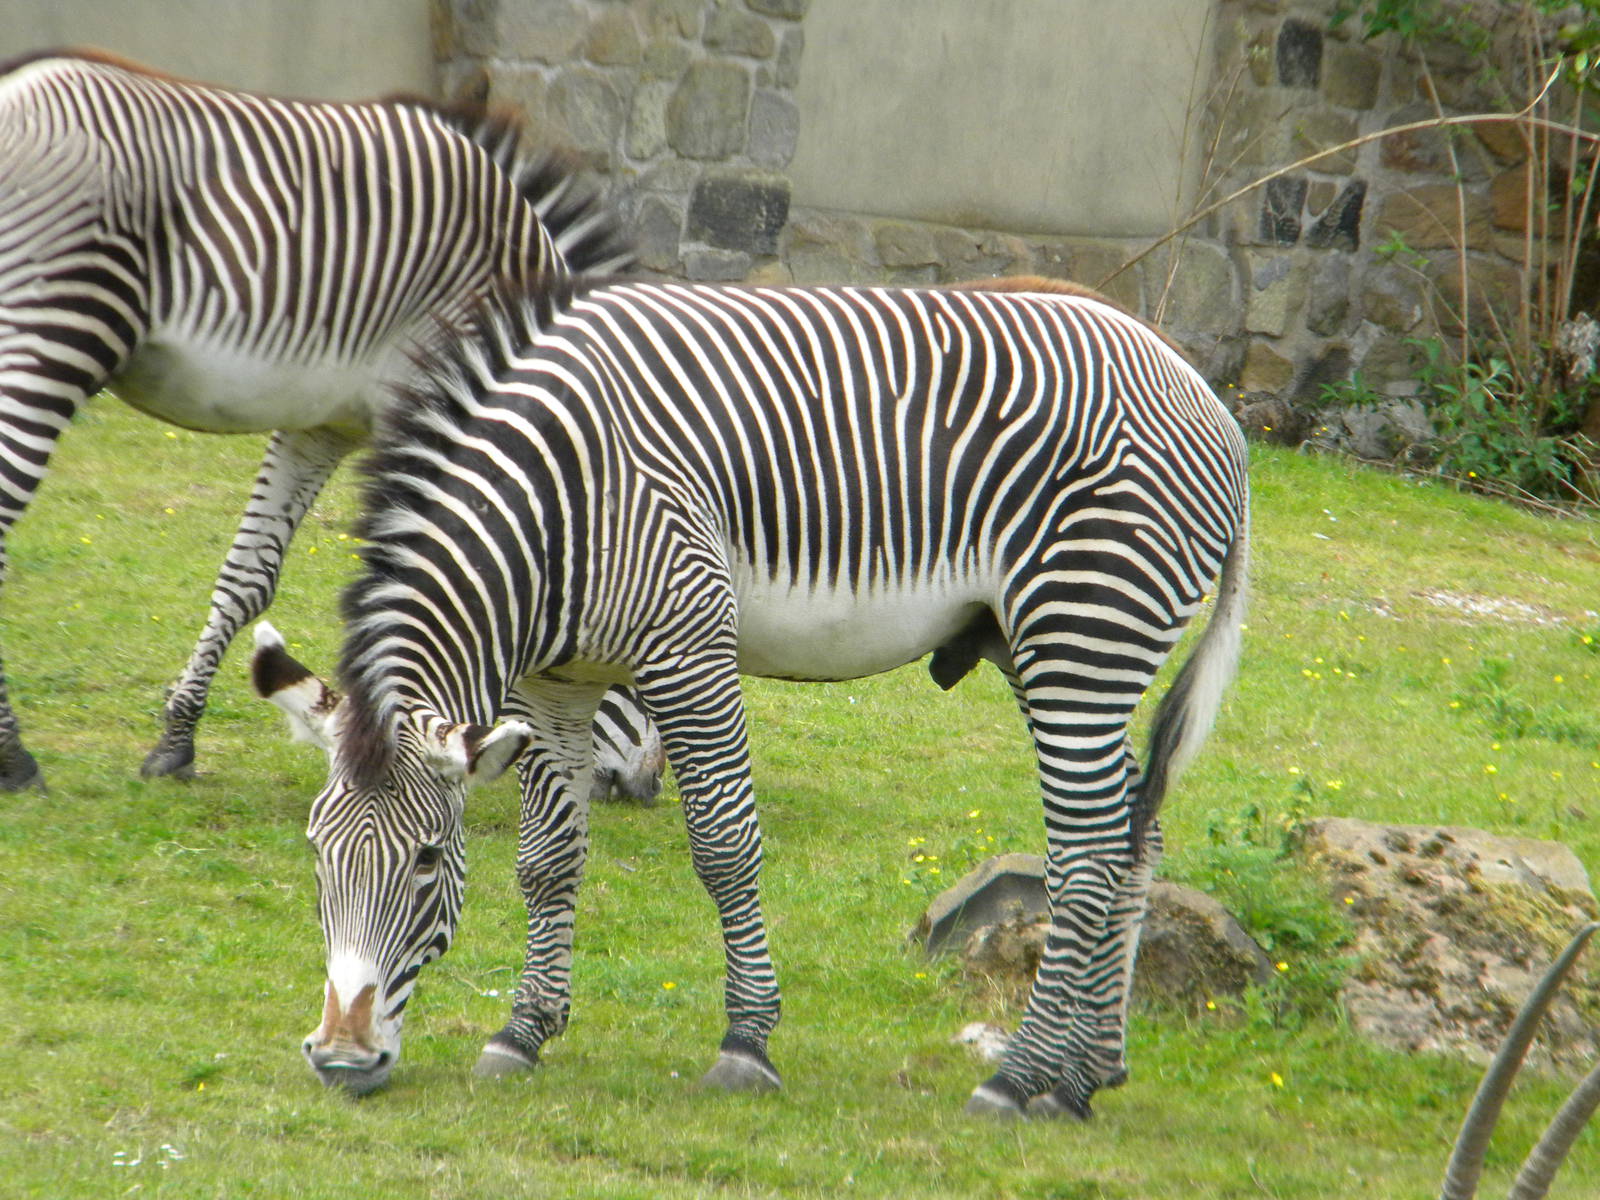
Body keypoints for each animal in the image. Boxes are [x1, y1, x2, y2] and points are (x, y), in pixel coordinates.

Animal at [0, 48, 659, 797]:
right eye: (623, 675)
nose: (645, 788)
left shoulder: (323, 426)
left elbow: (249, 575)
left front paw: (177, 740)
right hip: (58, 332)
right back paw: (14, 759)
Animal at [253, 271, 1249, 1116]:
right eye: (315, 855)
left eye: (427, 861)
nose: (341, 1060)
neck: (556, 502)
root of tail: (1202, 391)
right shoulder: (555, 685)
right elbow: (548, 862)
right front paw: (523, 1031)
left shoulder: (689, 650)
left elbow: (725, 848)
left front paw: (746, 1045)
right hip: (1051, 644)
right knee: (1138, 830)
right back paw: (1085, 1077)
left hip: (1083, 629)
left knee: (1087, 854)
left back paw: (1021, 1076)